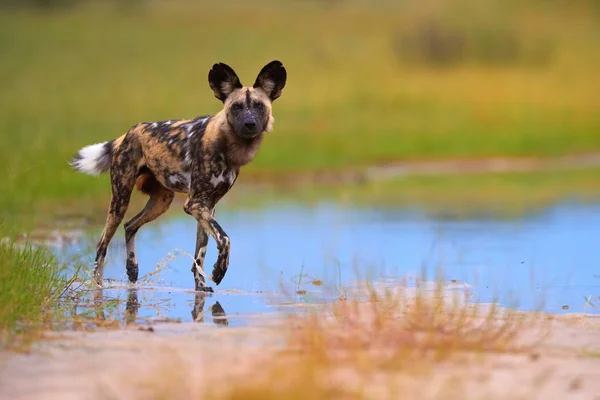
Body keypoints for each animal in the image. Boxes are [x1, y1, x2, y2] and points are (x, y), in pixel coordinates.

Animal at [70, 60, 286, 290]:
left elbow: (200, 254)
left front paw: (201, 286)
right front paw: (219, 272)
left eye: (259, 106)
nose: (249, 124)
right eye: (236, 107)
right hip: (120, 201)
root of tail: (128, 133)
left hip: (161, 202)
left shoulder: (206, 206)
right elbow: (225, 239)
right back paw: (98, 287)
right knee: (102, 244)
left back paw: (132, 270)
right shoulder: (195, 204)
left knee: (129, 226)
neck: (228, 145)